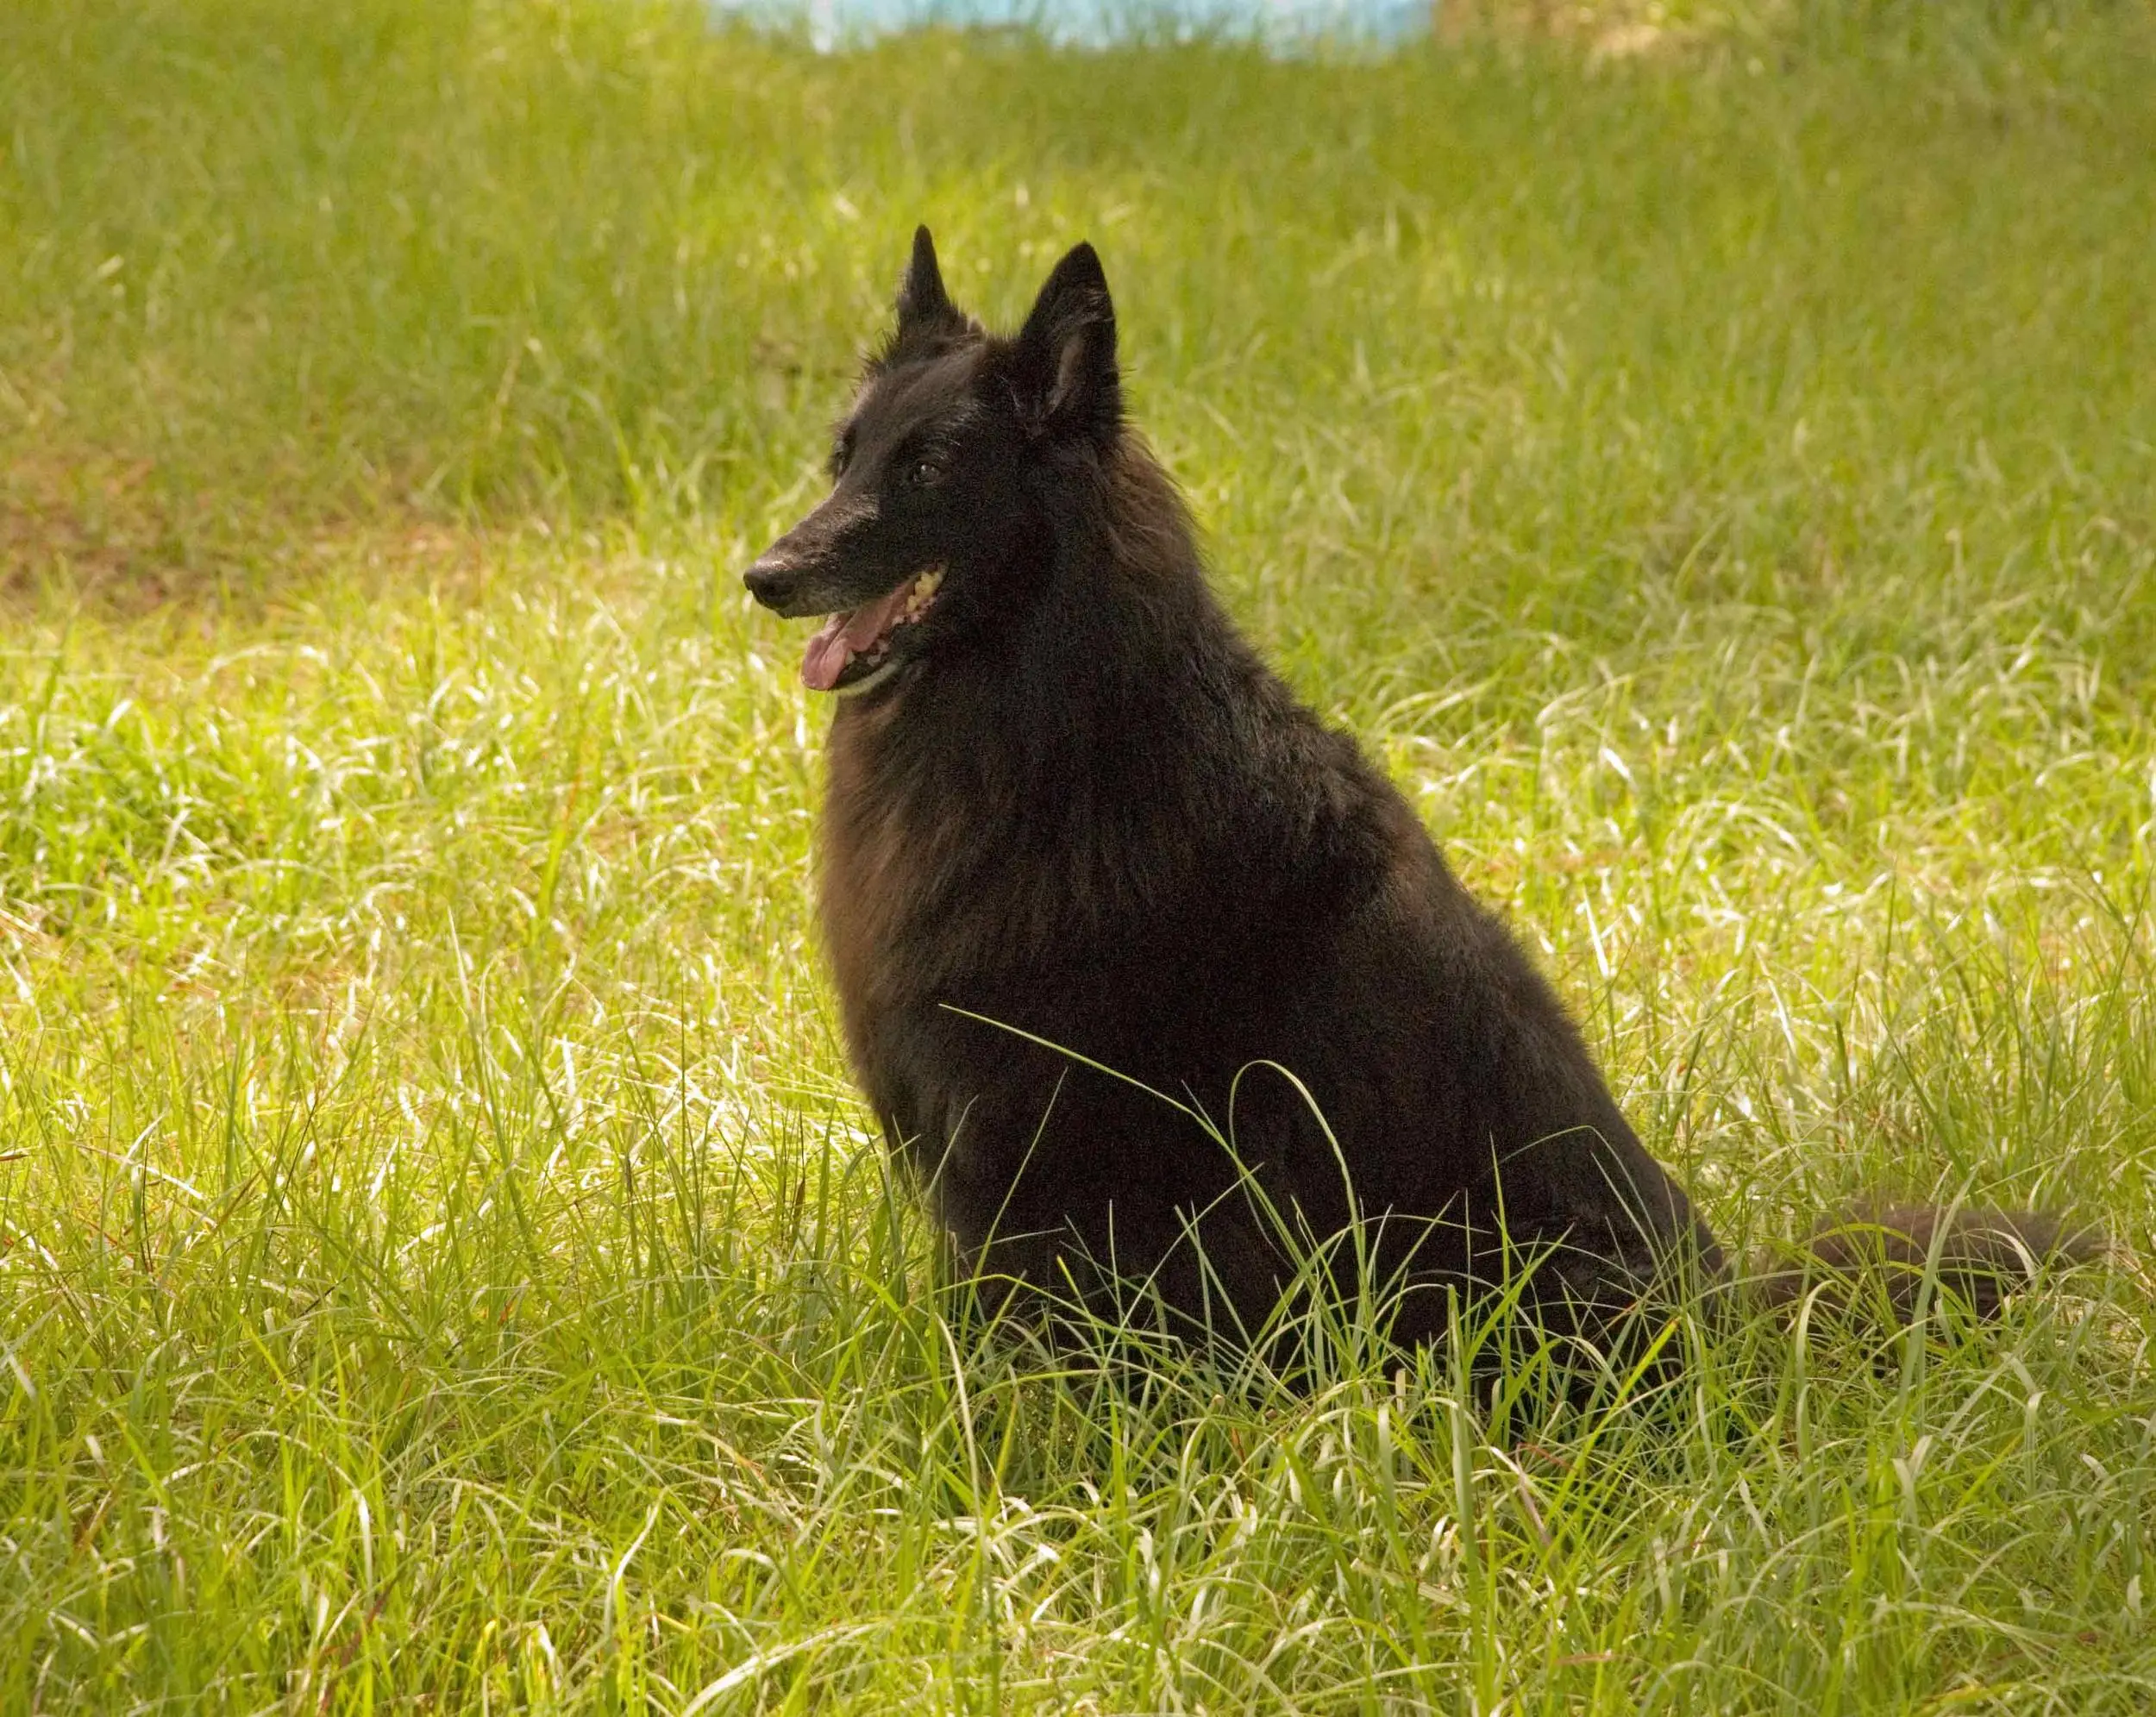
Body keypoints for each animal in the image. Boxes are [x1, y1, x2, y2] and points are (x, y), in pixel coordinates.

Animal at [750, 227, 2096, 1371]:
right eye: (841, 456)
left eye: (928, 466)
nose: (761, 574)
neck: (1053, 731)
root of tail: (1732, 1332)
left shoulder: (1067, 1178)